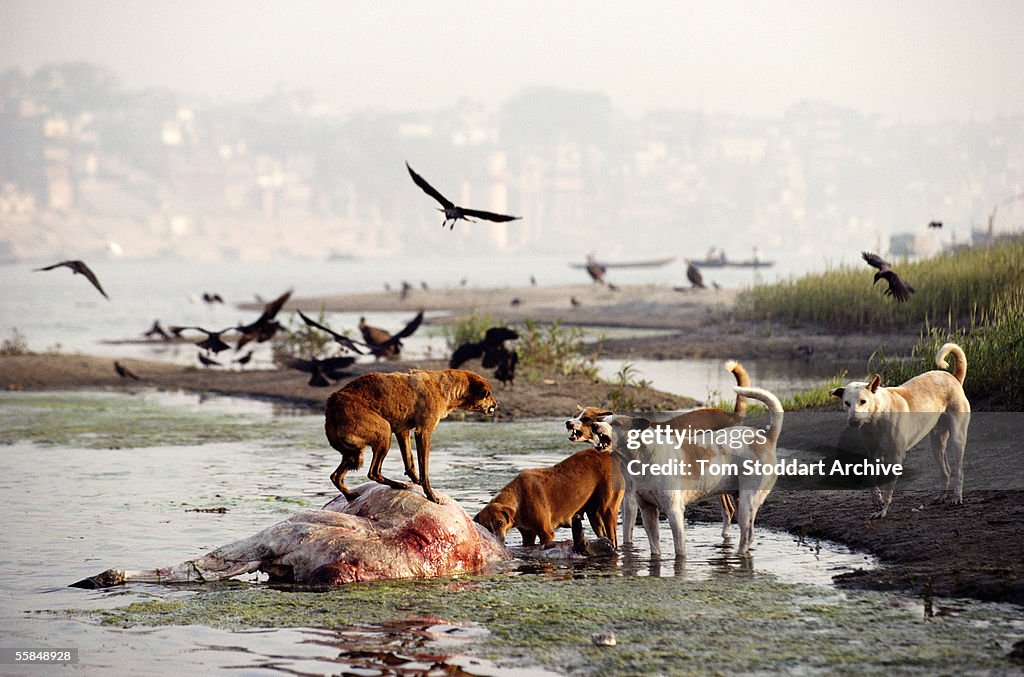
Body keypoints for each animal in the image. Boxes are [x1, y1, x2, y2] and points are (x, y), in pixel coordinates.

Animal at [321, 368, 493, 501]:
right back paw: (397, 484)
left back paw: (350, 495)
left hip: (354, 451)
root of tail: (331, 408)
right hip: (383, 431)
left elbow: (409, 462)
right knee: (373, 472)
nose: (496, 404)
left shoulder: (402, 431)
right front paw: (430, 495)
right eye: (489, 394)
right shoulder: (423, 431)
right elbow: (424, 469)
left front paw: (416, 480)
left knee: (336, 476)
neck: (444, 389)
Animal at [471, 446, 622, 553]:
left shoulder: (546, 533)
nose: (497, 541)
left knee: (613, 537)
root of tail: (610, 454)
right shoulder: (528, 535)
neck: (519, 498)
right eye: (486, 526)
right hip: (594, 514)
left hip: (607, 509)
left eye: (500, 522)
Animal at [565, 358, 749, 544]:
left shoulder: (630, 496)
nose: (568, 423)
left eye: (586, 419)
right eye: (575, 415)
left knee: (729, 510)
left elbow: (627, 532)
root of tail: (731, 416)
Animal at [589, 385, 778, 553]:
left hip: (748, 500)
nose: (594, 426)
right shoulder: (647, 510)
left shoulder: (674, 512)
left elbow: (679, 550)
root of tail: (766, 437)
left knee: (747, 534)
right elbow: (655, 548)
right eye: (602, 421)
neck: (642, 456)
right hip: (739, 499)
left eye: (616, 423)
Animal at [827, 344, 970, 518]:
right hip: (936, 442)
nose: (853, 421)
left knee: (959, 470)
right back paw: (941, 496)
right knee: (946, 471)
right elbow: (870, 477)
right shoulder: (872, 454)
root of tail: (953, 378)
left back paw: (957, 497)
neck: (876, 419)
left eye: (863, 401)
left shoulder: (896, 457)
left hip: (957, 438)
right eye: (846, 403)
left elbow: (889, 489)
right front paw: (877, 498)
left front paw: (883, 511)